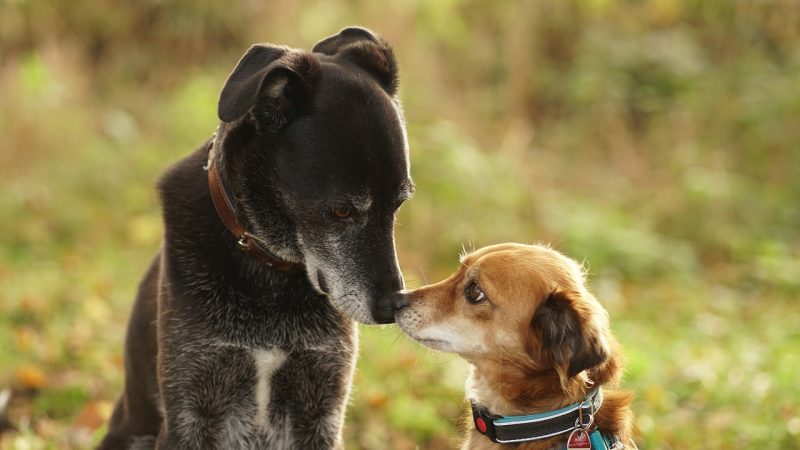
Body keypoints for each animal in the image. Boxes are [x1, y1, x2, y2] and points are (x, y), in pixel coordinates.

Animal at [99, 27, 412, 450]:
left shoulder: (320, 409)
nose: (392, 308)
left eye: (398, 204)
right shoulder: (190, 411)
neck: (270, 270)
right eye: (341, 211)